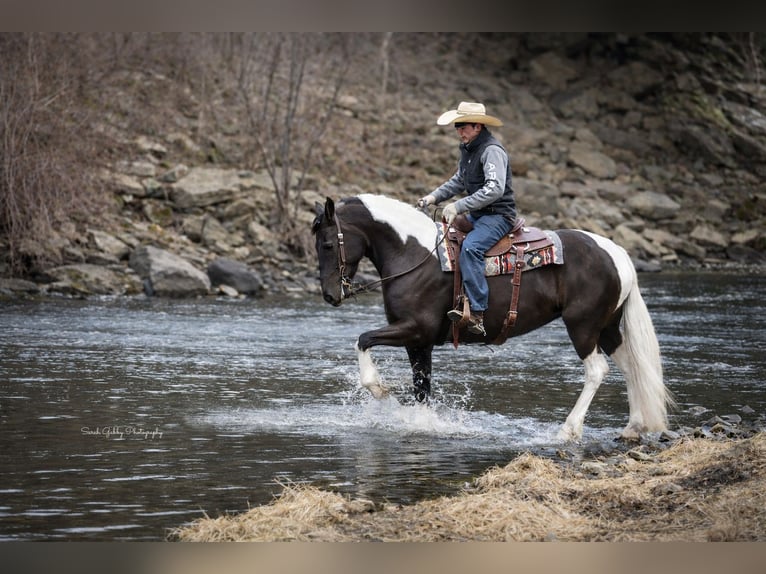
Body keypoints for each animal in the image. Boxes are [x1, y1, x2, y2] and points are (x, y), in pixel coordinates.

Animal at [311, 193, 674, 441]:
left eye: (327, 244)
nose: (329, 294)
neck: (413, 254)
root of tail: (617, 254)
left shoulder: (415, 329)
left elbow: (363, 340)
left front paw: (380, 391)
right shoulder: (420, 342)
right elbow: (422, 387)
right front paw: (421, 424)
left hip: (583, 327)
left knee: (597, 371)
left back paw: (568, 430)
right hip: (608, 327)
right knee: (631, 368)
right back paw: (632, 427)